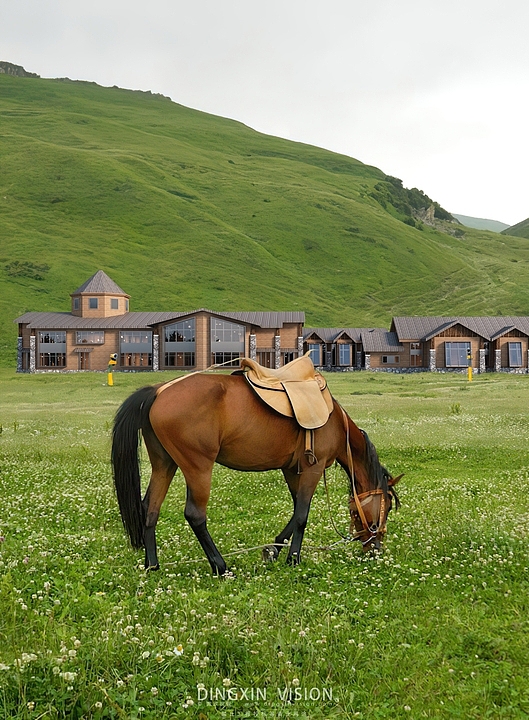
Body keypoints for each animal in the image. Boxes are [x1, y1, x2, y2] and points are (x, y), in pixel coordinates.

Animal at [111, 371, 401, 575]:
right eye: (386, 508)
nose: (376, 548)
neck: (333, 421)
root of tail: (159, 390)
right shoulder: (313, 468)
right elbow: (302, 515)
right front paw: (293, 558)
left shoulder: (291, 470)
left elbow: (296, 511)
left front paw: (273, 550)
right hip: (198, 467)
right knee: (195, 515)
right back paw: (220, 566)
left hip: (164, 463)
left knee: (150, 509)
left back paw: (152, 565)